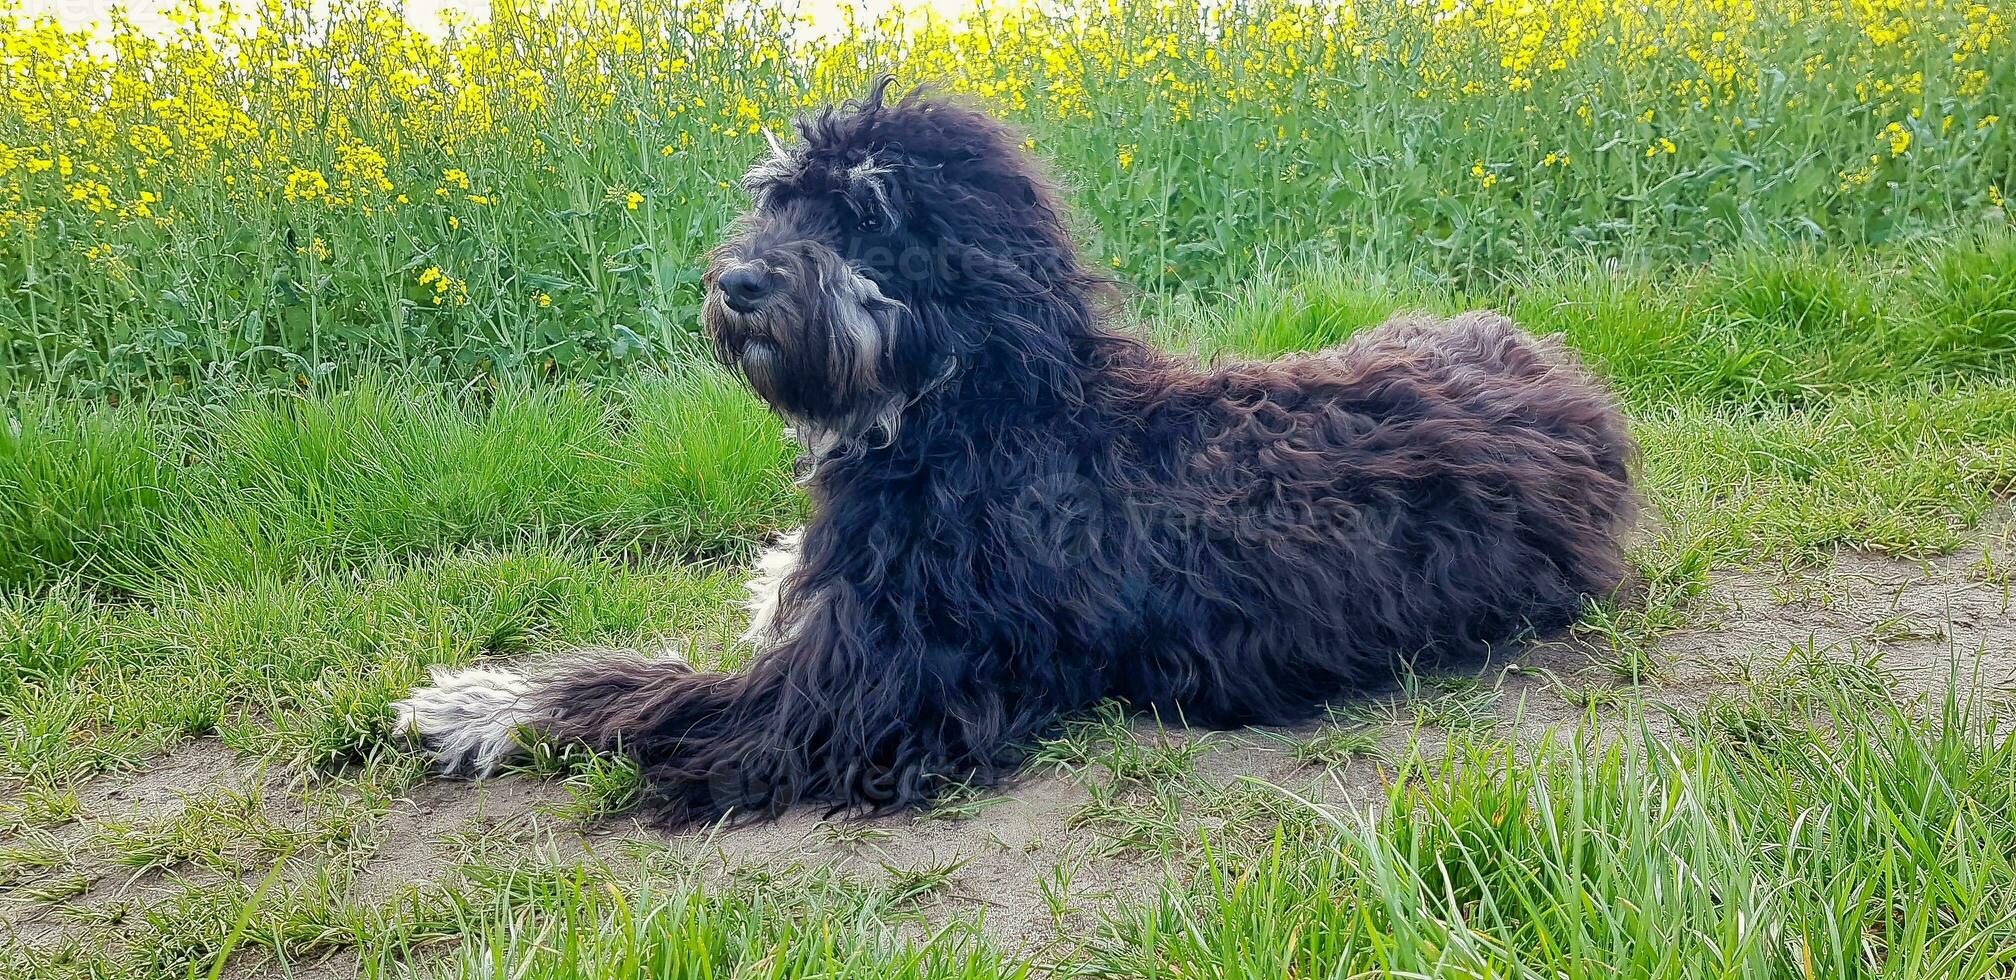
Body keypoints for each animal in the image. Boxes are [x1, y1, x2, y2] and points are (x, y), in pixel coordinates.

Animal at [393, 80, 1636, 822]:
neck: (965, 407)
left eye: (871, 213)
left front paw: (476, 705)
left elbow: (637, 691)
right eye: (781, 200)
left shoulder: (858, 701)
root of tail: (1580, 397)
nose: (737, 283)